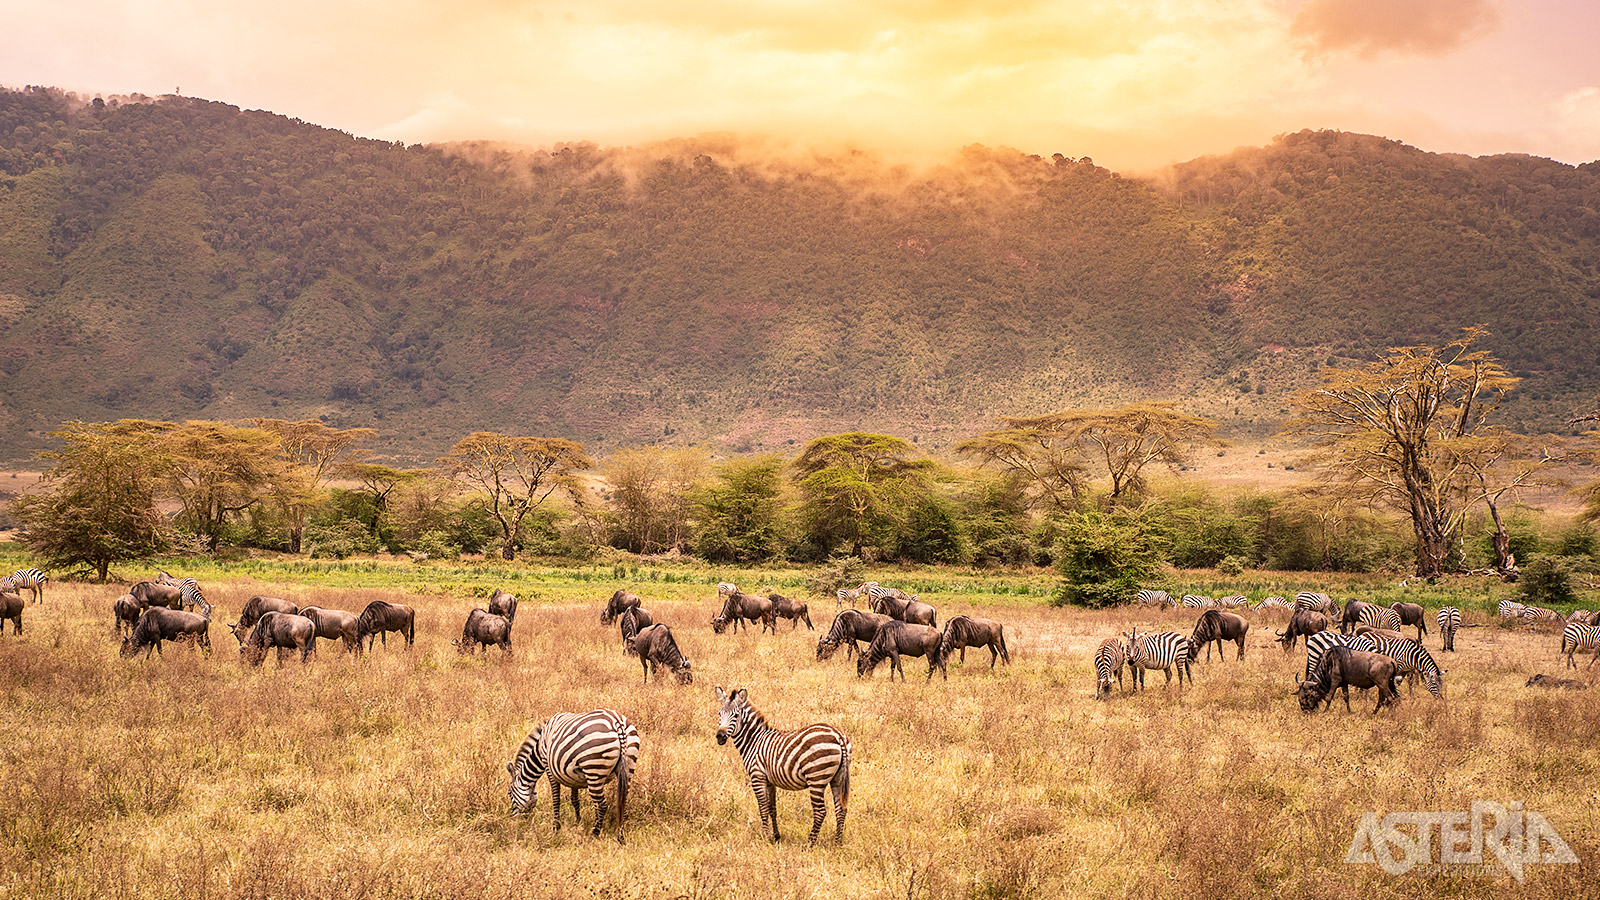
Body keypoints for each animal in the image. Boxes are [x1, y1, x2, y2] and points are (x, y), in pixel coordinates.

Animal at [508, 707, 640, 839]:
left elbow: (556, 798)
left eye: (510, 794)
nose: (514, 821)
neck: (539, 749)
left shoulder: (548, 766)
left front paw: (555, 827)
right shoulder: (572, 774)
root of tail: (617, 722)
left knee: (602, 805)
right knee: (622, 802)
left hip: (594, 769)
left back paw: (594, 834)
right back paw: (620, 835)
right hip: (629, 766)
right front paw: (578, 822)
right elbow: (574, 799)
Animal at [720, 682, 857, 845]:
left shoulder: (757, 776)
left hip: (816, 777)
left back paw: (809, 844)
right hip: (838, 777)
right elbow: (772, 808)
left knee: (820, 812)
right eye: (719, 714)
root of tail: (838, 735)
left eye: (735, 715)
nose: (719, 736)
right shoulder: (769, 780)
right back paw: (837, 843)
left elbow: (763, 808)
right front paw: (776, 837)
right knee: (841, 809)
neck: (754, 741)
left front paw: (766, 838)